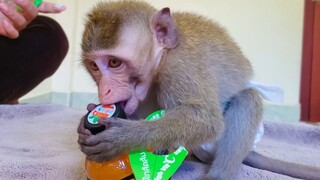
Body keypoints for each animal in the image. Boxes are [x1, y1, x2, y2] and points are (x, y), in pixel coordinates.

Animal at [78, 0, 320, 179]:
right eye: (94, 66)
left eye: (114, 63)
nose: (105, 91)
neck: (161, 59)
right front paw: (85, 125)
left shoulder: (180, 66)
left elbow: (207, 118)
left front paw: (123, 138)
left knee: (247, 98)